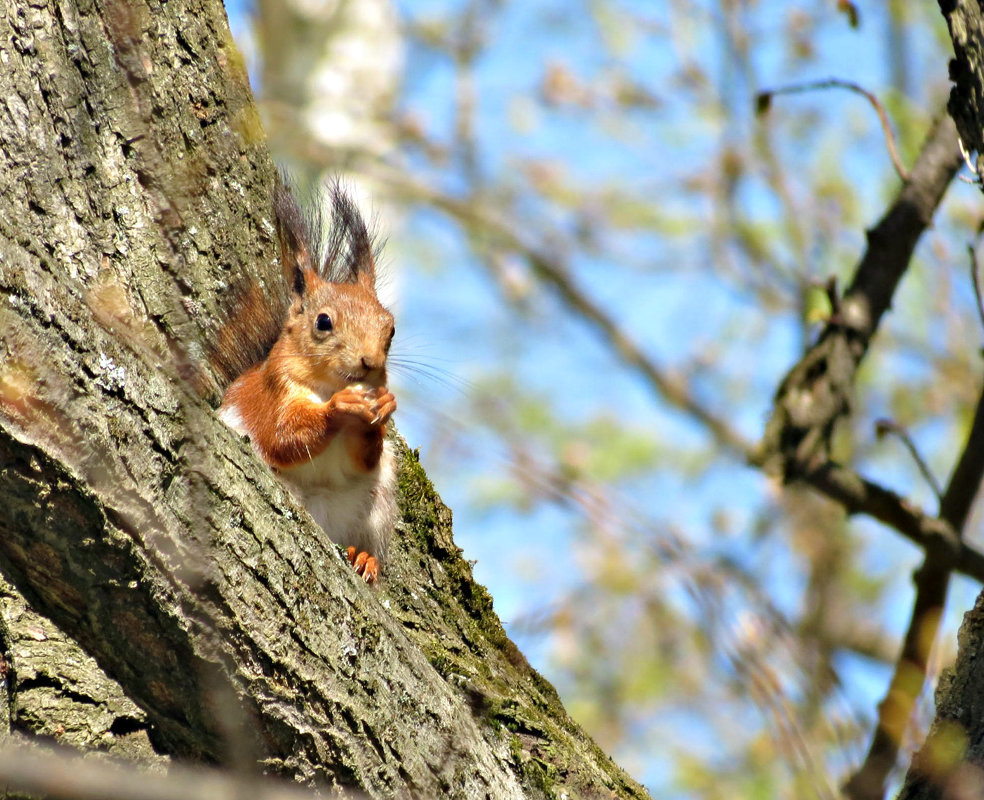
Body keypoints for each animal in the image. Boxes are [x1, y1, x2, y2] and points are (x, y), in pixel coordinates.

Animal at [218, 180, 396, 580]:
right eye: (323, 322)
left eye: (391, 328)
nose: (371, 362)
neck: (328, 385)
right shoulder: (274, 392)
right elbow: (283, 437)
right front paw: (338, 409)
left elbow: (365, 459)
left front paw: (384, 406)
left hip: (378, 503)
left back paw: (365, 557)